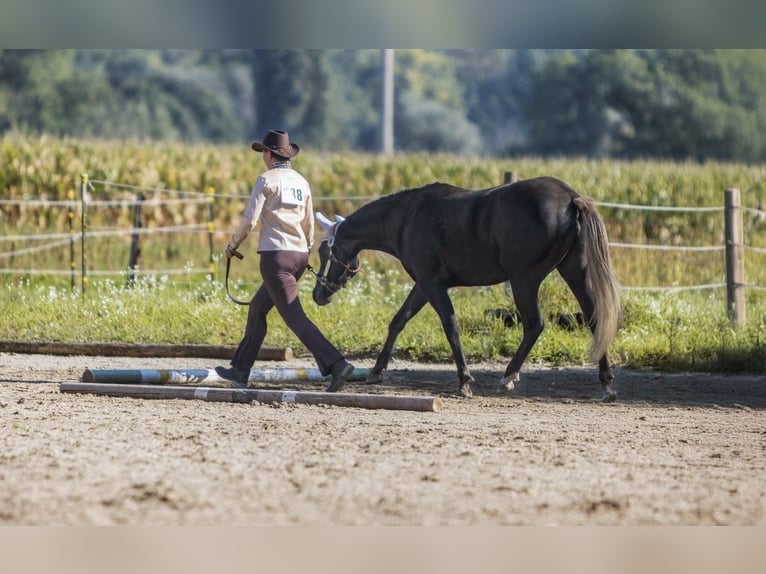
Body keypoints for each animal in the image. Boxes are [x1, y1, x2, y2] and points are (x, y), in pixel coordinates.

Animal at [312, 176, 621, 401]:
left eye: (325, 252)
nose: (318, 295)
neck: (406, 217)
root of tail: (571, 198)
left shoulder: (433, 285)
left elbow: (450, 328)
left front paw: (464, 382)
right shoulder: (423, 285)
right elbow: (398, 321)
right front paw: (376, 371)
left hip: (524, 279)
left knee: (534, 324)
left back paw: (507, 378)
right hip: (574, 272)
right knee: (594, 318)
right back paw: (605, 385)